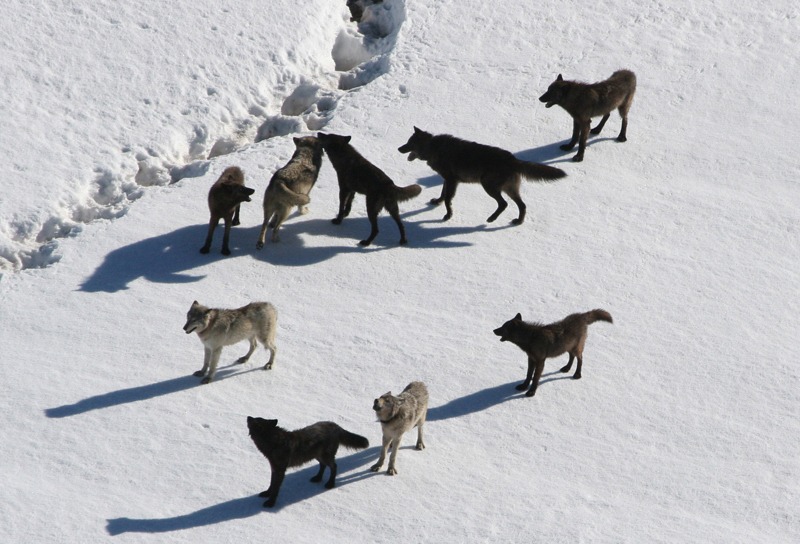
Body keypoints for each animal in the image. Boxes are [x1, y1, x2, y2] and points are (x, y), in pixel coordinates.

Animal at [396, 127, 564, 223]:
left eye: (409, 143)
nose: (398, 148)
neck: (433, 147)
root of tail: (513, 159)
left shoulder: (451, 180)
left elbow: (448, 199)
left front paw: (448, 215)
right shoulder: (448, 180)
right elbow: (443, 195)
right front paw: (437, 202)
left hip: (488, 186)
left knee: (504, 204)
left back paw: (491, 219)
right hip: (509, 189)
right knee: (522, 205)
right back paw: (517, 221)